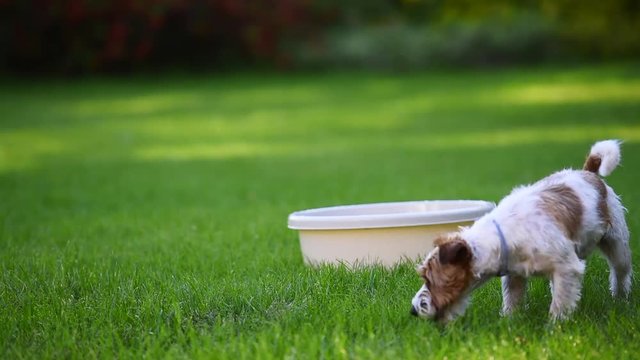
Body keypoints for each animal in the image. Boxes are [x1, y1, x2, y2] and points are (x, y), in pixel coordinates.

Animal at [410, 139, 632, 322]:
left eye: (428, 278)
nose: (412, 310)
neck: (503, 235)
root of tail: (588, 171)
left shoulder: (568, 267)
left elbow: (560, 305)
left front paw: (555, 328)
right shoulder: (514, 276)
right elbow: (513, 301)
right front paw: (510, 323)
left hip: (617, 244)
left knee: (620, 272)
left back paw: (620, 299)